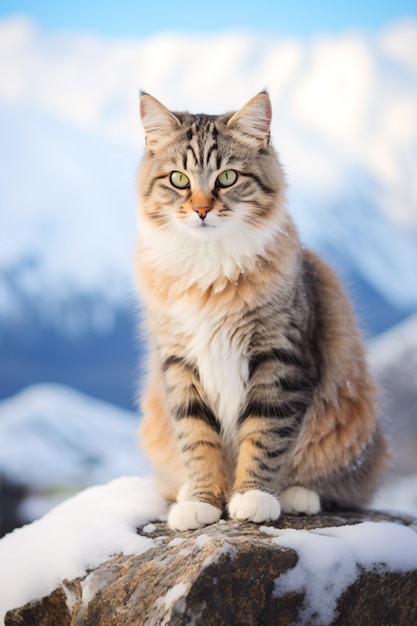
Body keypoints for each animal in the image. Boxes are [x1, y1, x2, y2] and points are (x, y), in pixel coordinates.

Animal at [136, 90, 386, 528]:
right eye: (179, 180)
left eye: (227, 178)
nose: (201, 210)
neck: (209, 270)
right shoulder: (179, 364)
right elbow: (197, 440)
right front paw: (202, 500)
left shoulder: (279, 357)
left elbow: (264, 436)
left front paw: (252, 496)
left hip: (351, 421)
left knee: (344, 483)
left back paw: (299, 495)